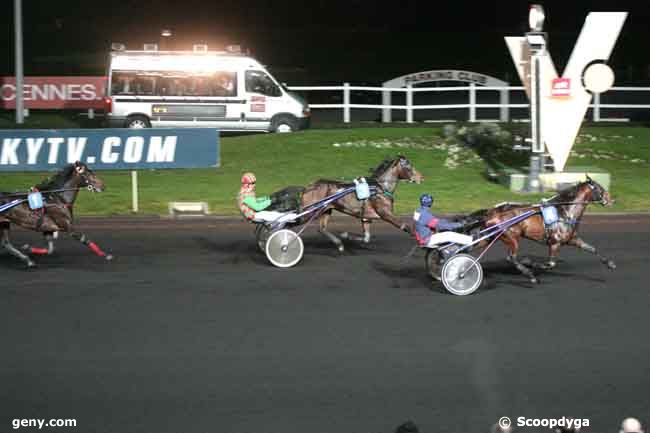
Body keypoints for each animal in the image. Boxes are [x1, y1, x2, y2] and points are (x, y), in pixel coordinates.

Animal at [474, 176, 616, 284]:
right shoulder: (555, 243)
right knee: (511, 257)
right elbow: (550, 264)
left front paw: (610, 264)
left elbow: (592, 249)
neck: (565, 212)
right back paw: (531, 276)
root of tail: (492, 212)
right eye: (600, 188)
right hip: (512, 237)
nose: (611, 200)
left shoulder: (573, 239)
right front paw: (530, 263)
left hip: (490, 237)